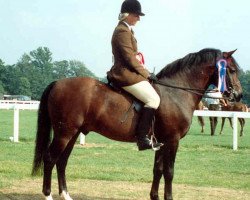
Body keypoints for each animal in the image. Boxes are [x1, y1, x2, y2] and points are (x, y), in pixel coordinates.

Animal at [30, 48, 242, 200]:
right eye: (231, 70)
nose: (238, 95)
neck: (176, 92)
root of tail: (58, 83)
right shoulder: (172, 141)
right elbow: (169, 172)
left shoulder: (161, 142)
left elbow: (158, 170)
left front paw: (154, 197)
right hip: (64, 133)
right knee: (50, 159)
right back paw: (48, 195)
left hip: (72, 134)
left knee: (62, 161)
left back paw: (66, 195)